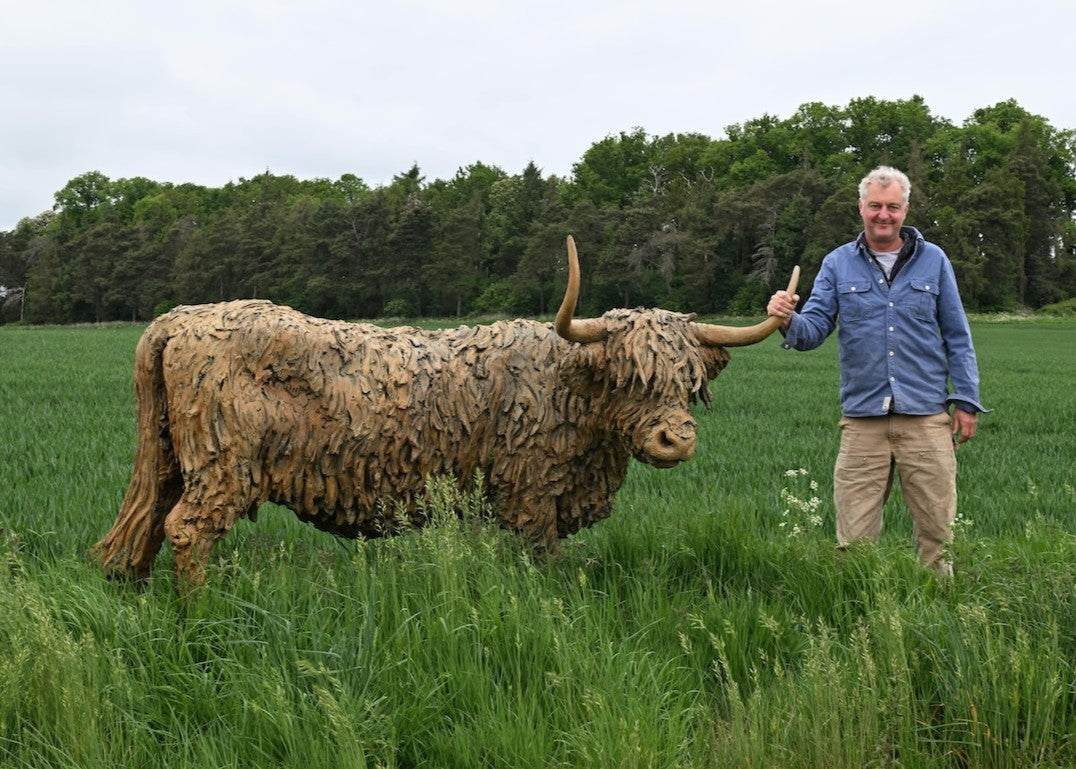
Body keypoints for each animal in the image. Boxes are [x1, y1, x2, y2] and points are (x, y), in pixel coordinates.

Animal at [94, 236, 798, 587]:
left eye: (688, 383)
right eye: (629, 378)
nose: (676, 439)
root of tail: (182, 318)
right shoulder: (529, 492)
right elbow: (543, 562)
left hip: (174, 456)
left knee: (148, 521)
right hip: (223, 465)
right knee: (187, 529)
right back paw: (204, 613)